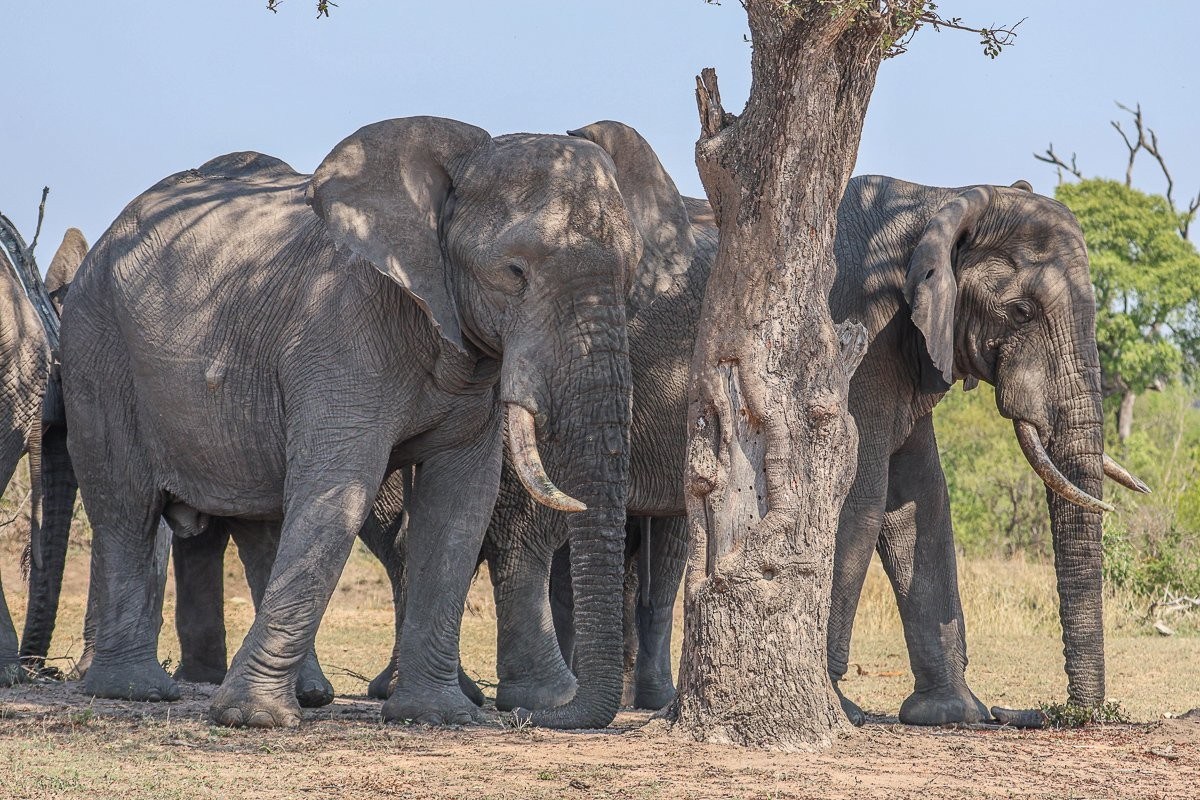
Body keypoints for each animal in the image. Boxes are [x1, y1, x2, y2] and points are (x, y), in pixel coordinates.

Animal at [52, 115, 669, 730]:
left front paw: (434, 714)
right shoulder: (341, 325)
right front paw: (253, 719)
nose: (536, 716)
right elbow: (340, 489)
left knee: (262, 519)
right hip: (95, 346)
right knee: (126, 507)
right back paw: (136, 692)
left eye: (631, 274)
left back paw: (306, 695)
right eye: (514, 272)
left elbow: (459, 504)